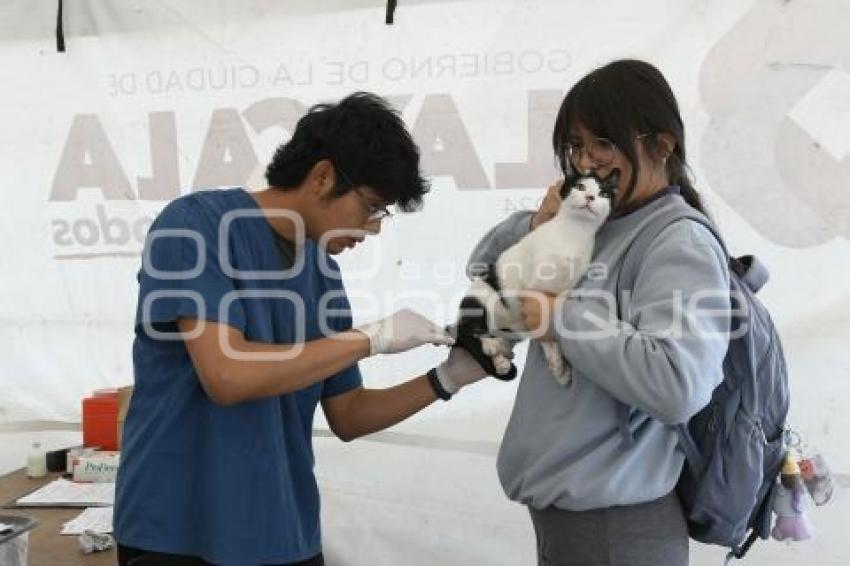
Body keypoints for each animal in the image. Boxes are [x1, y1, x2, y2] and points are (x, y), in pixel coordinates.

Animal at [454, 171, 612, 388]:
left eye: (603, 193)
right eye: (580, 187)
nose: (590, 197)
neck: (575, 233)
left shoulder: (564, 290)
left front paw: (559, 367)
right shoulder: (534, 289)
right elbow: (544, 331)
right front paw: (557, 364)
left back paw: (500, 357)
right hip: (480, 297)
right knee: (466, 330)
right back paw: (491, 345)